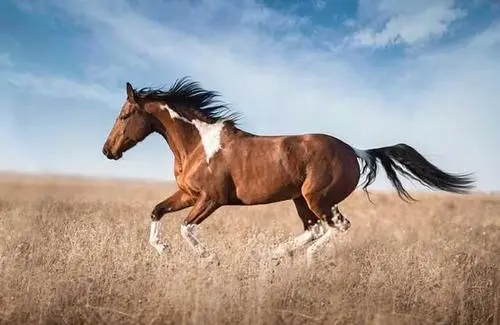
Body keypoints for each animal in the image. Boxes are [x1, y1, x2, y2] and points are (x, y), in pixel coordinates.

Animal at [101, 77, 476, 264]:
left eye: (124, 115)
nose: (108, 151)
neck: (198, 144)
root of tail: (355, 151)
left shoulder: (211, 199)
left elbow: (186, 228)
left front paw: (209, 258)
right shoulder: (188, 194)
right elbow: (157, 211)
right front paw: (162, 249)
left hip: (316, 198)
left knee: (336, 226)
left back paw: (299, 257)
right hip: (301, 200)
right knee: (317, 228)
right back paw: (278, 253)